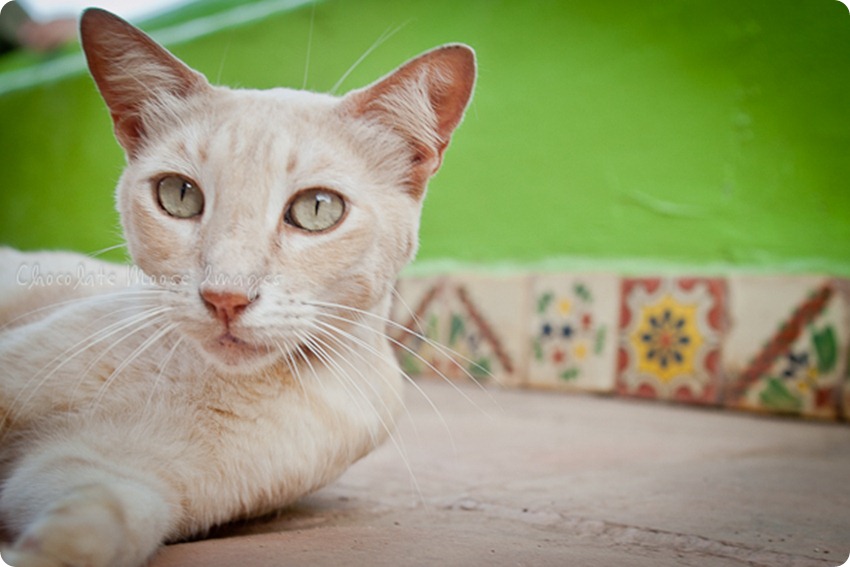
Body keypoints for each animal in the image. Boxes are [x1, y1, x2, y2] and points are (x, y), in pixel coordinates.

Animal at [0, 8, 474, 567]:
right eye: (179, 195)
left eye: (318, 208)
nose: (225, 297)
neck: (212, 384)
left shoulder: (113, 475)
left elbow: (90, 533)